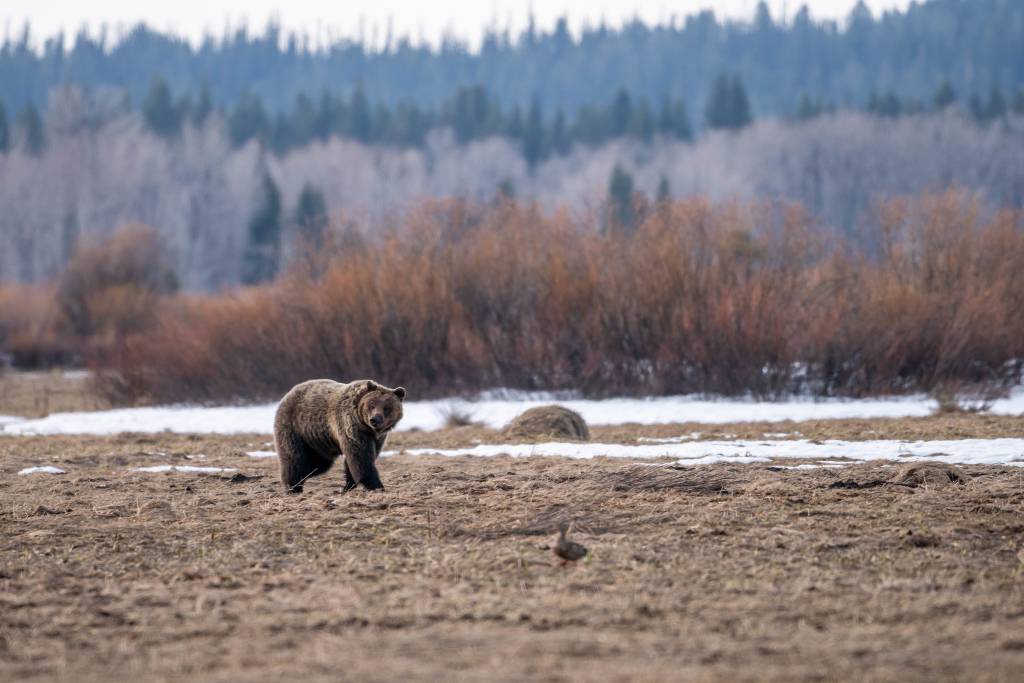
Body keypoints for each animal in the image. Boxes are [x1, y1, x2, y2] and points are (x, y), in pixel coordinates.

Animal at [274, 378, 405, 491]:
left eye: (387, 408)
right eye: (371, 405)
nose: (375, 420)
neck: (366, 427)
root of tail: (289, 393)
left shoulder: (377, 438)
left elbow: (359, 459)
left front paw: (348, 486)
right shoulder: (352, 426)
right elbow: (361, 457)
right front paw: (376, 486)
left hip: (318, 442)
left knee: (318, 464)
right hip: (295, 427)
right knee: (294, 458)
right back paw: (293, 487)